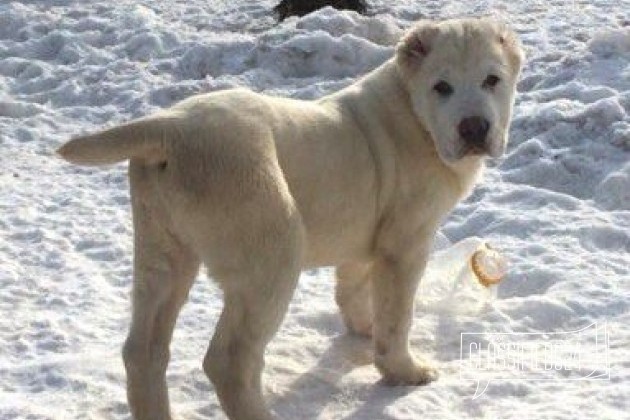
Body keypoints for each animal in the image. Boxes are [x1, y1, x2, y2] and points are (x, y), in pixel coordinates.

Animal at [58, 16, 524, 420]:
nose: (474, 127)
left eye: (492, 81)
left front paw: (362, 329)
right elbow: (397, 315)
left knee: (143, 350)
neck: (413, 115)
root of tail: (168, 129)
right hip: (272, 252)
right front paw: (403, 371)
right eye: (441, 87)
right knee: (229, 361)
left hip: (162, 252)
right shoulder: (405, 244)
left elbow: (354, 285)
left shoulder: (365, 233)